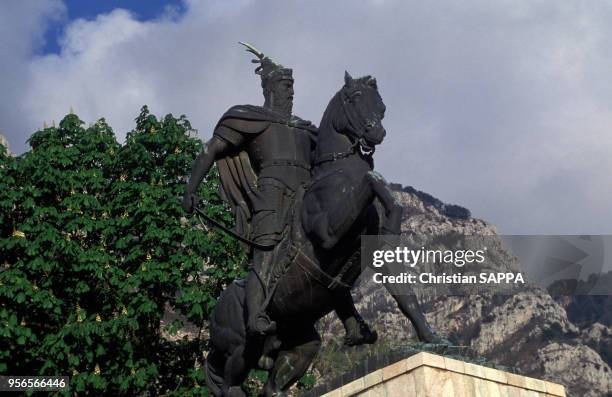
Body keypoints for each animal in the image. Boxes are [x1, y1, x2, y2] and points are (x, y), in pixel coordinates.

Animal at [206, 72, 444, 394]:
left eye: (381, 106)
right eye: (354, 98)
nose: (377, 133)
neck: (337, 174)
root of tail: (215, 313)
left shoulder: (377, 250)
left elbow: (404, 296)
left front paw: (433, 338)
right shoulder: (329, 234)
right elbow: (372, 178)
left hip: (299, 345)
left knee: (272, 386)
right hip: (240, 349)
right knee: (229, 384)